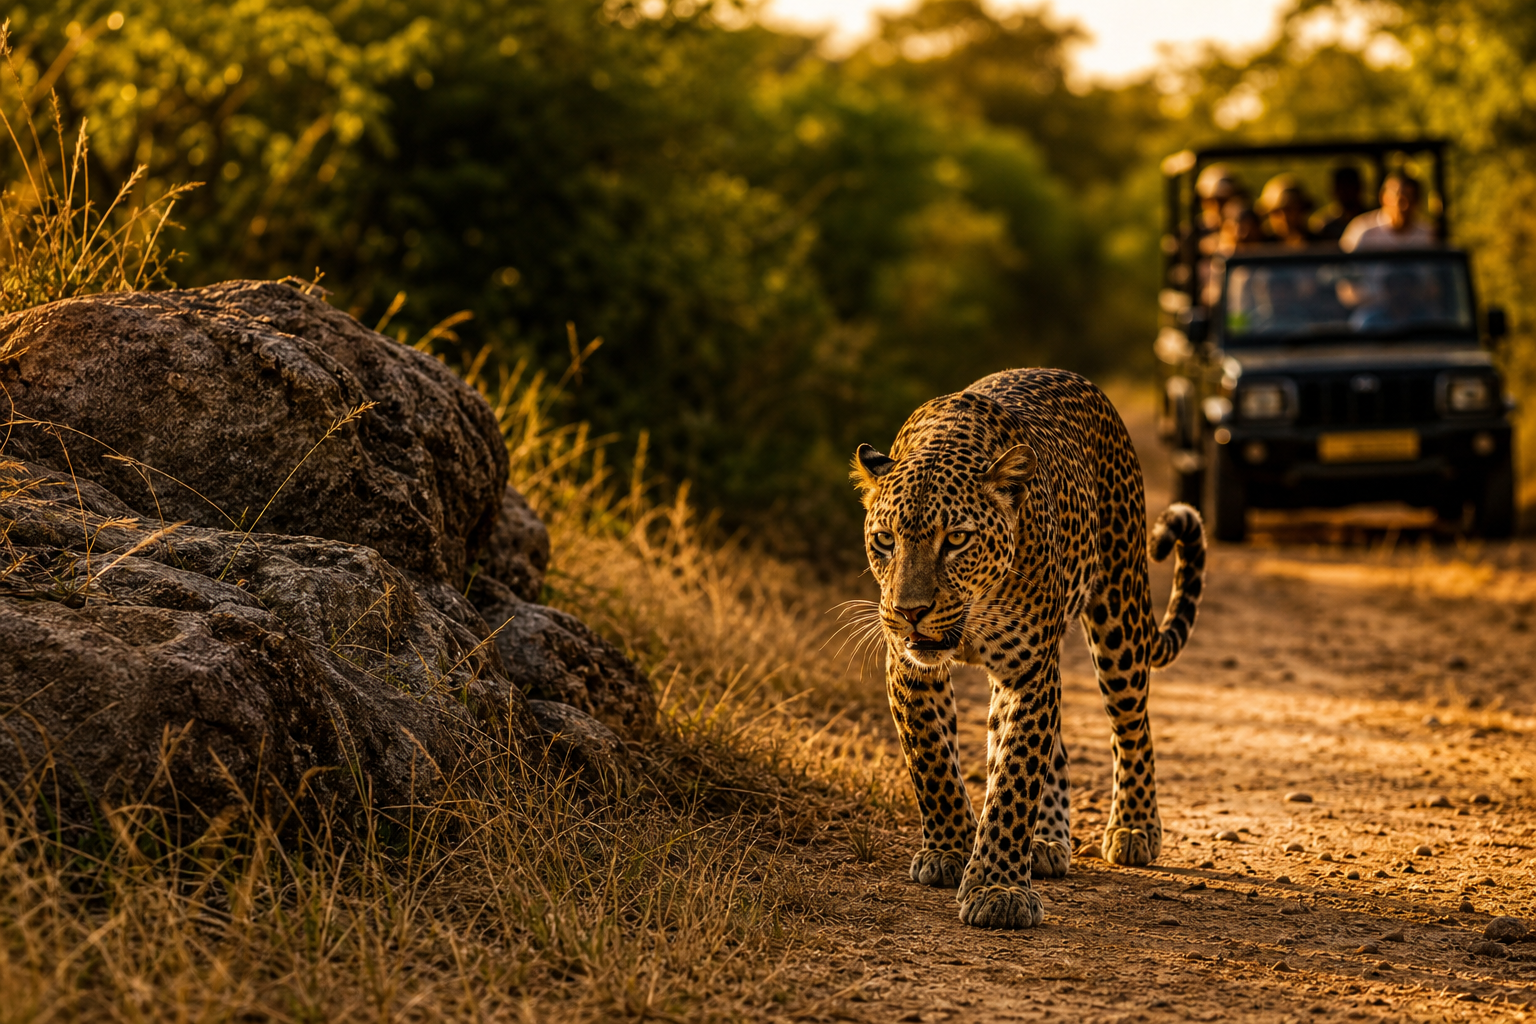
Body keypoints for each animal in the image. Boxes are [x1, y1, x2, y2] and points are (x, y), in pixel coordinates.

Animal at [850, 367, 1206, 929]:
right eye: (885, 540)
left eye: (957, 539)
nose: (909, 610)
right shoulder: (908, 665)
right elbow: (932, 758)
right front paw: (951, 849)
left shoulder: (1029, 669)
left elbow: (1016, 776)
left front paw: (997, 888)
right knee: (1049, 744)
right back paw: (1044, 842)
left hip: (1119, 613)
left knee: (1131, 725)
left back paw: (1133, 828)